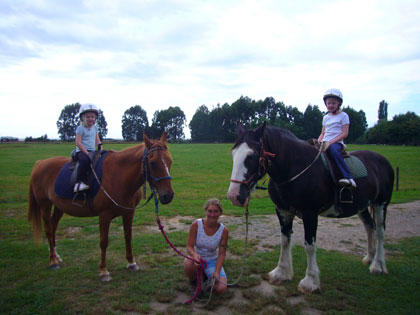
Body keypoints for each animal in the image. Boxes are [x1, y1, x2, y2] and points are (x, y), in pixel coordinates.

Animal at [28, 132, 174, 282]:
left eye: (170, 161)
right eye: (153, 162)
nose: (168, 195)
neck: (118, 176)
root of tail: (40, 163)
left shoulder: (129, 212)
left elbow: (128, 236)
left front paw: (131, 263)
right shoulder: (104, 215)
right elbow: (104, 242)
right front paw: (104, 271)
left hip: (59, 206)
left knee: (53, 227)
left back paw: (56, 255)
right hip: (45, 205)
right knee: (48, 230)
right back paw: (53, 261)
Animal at [226, 123, 394, 294]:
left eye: (251, 156)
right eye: (233, 154)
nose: (234, 196)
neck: (295, 169)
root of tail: (382, 160)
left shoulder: (310, 215)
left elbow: (309, 246)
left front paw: (310, 281)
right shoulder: (283, 212)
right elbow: (284, 241)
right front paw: (281, 272)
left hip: (381, 204)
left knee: (380, 232)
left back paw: (378, 265)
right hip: (362, 206)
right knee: (369, 227)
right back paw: (369, 258)